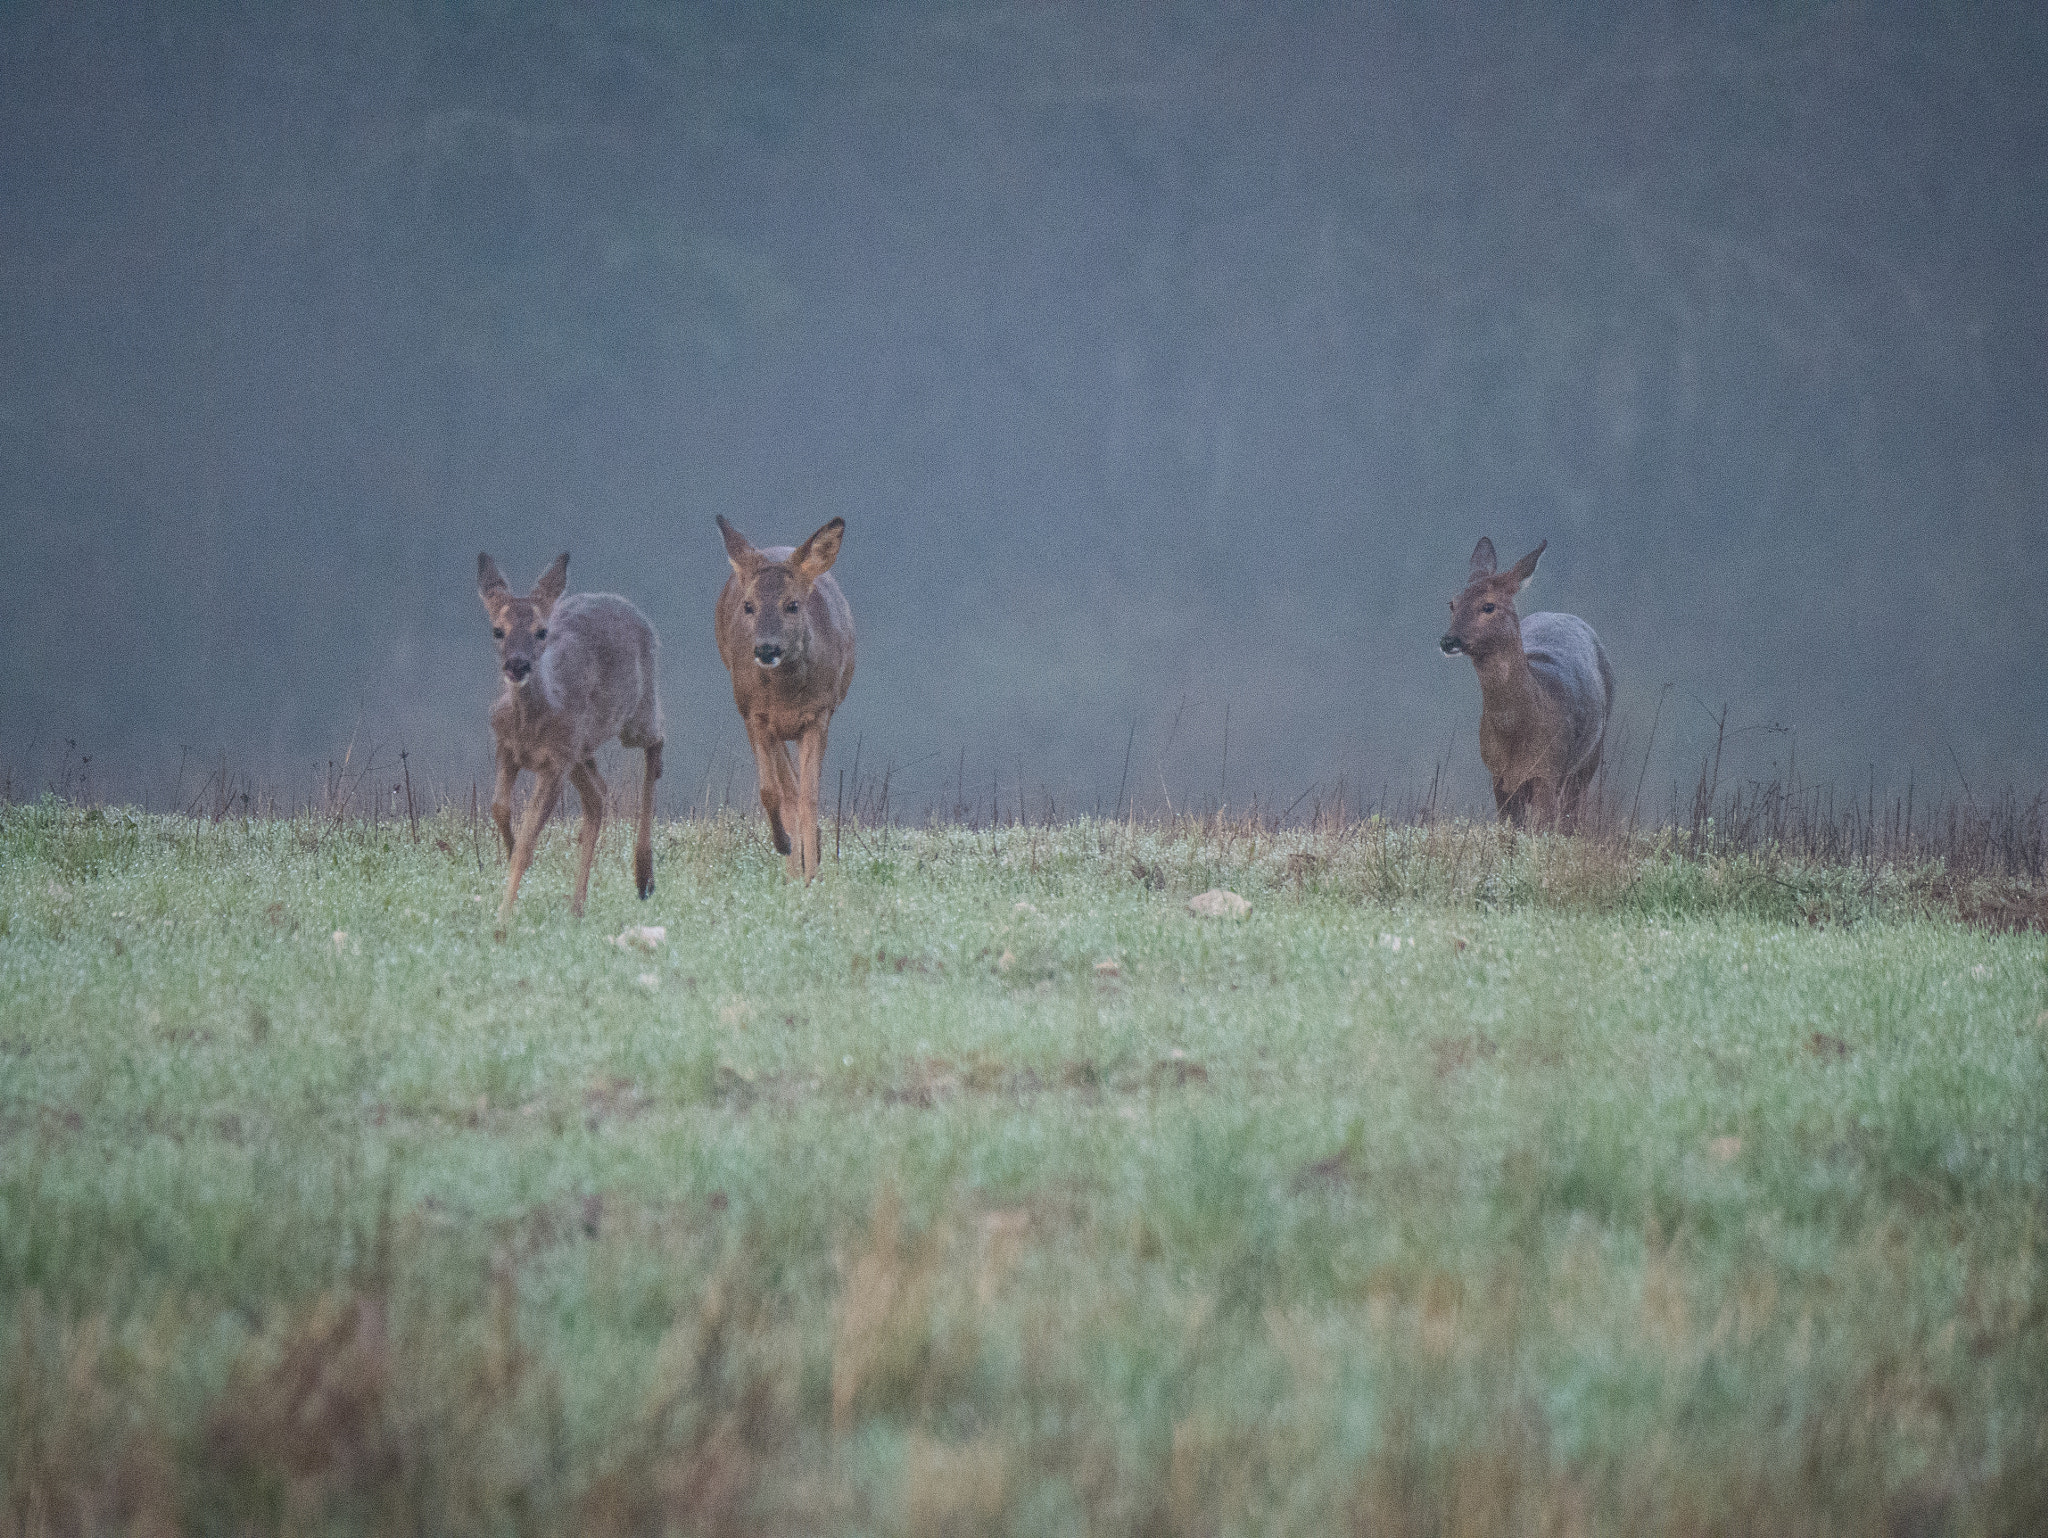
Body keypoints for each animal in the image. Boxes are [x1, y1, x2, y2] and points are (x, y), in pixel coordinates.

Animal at [473, 548, 659, 925]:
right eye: (497, 630)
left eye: (541, 632)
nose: (517, 666)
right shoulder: (507, 746)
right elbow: (499, 807)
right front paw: (510, 851)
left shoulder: (556, 763)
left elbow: (529, 838)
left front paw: (503, 915)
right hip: (582, 750)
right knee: (598, 796)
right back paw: (577, 905)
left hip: (635, 714)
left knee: (657, 741)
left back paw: (644, 875)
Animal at [716, 518, 851, 884]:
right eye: (749, 606)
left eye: (792, 604)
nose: (766, 648)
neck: (787, 695)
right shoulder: (753, 712)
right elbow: (772, 791)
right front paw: (785, 846)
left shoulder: (820, 712)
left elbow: (809, 796)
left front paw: (811, 874)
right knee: (786, 788)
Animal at [1441, 536, 1613, 831]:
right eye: (1452, 603)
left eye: (1489, 606)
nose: (1448, 640)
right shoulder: (1498, 774)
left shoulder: (1548, 769)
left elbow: (1544, 827)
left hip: (1591, 754)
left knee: (1573, 815)